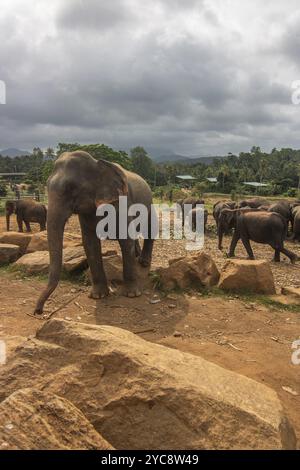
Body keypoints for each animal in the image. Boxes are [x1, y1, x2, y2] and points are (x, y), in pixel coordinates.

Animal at [34, 152, 156, 314]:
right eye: (46, 186)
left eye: (71, 188)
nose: (39, 311)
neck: (97, 163)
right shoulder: (86, 212)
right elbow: (90, 243)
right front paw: (98, 296)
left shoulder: (122, 202)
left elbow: (125, 240)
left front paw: (132, 295)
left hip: (149, 204)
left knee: (149, 228)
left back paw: (143, 262)